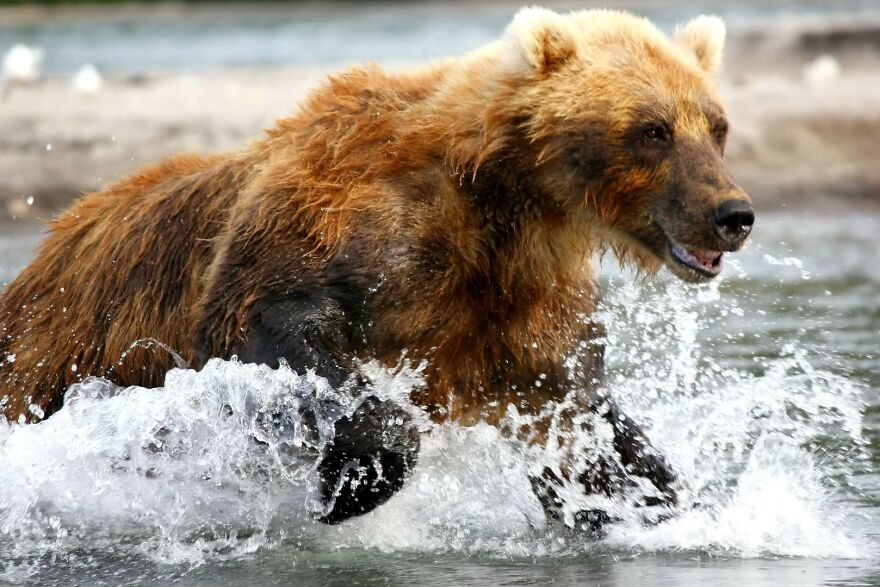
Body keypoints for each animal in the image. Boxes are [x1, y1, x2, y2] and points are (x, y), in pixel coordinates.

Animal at [0, 8, 754, 526]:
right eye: (652, 129)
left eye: (716, 125)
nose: (733, 213)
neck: (503, 203)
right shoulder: (340, 221)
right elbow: (273, 325)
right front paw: (354, 483)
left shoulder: (522, 306)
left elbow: (578, 421)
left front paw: (655, 498)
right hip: (57, 350)